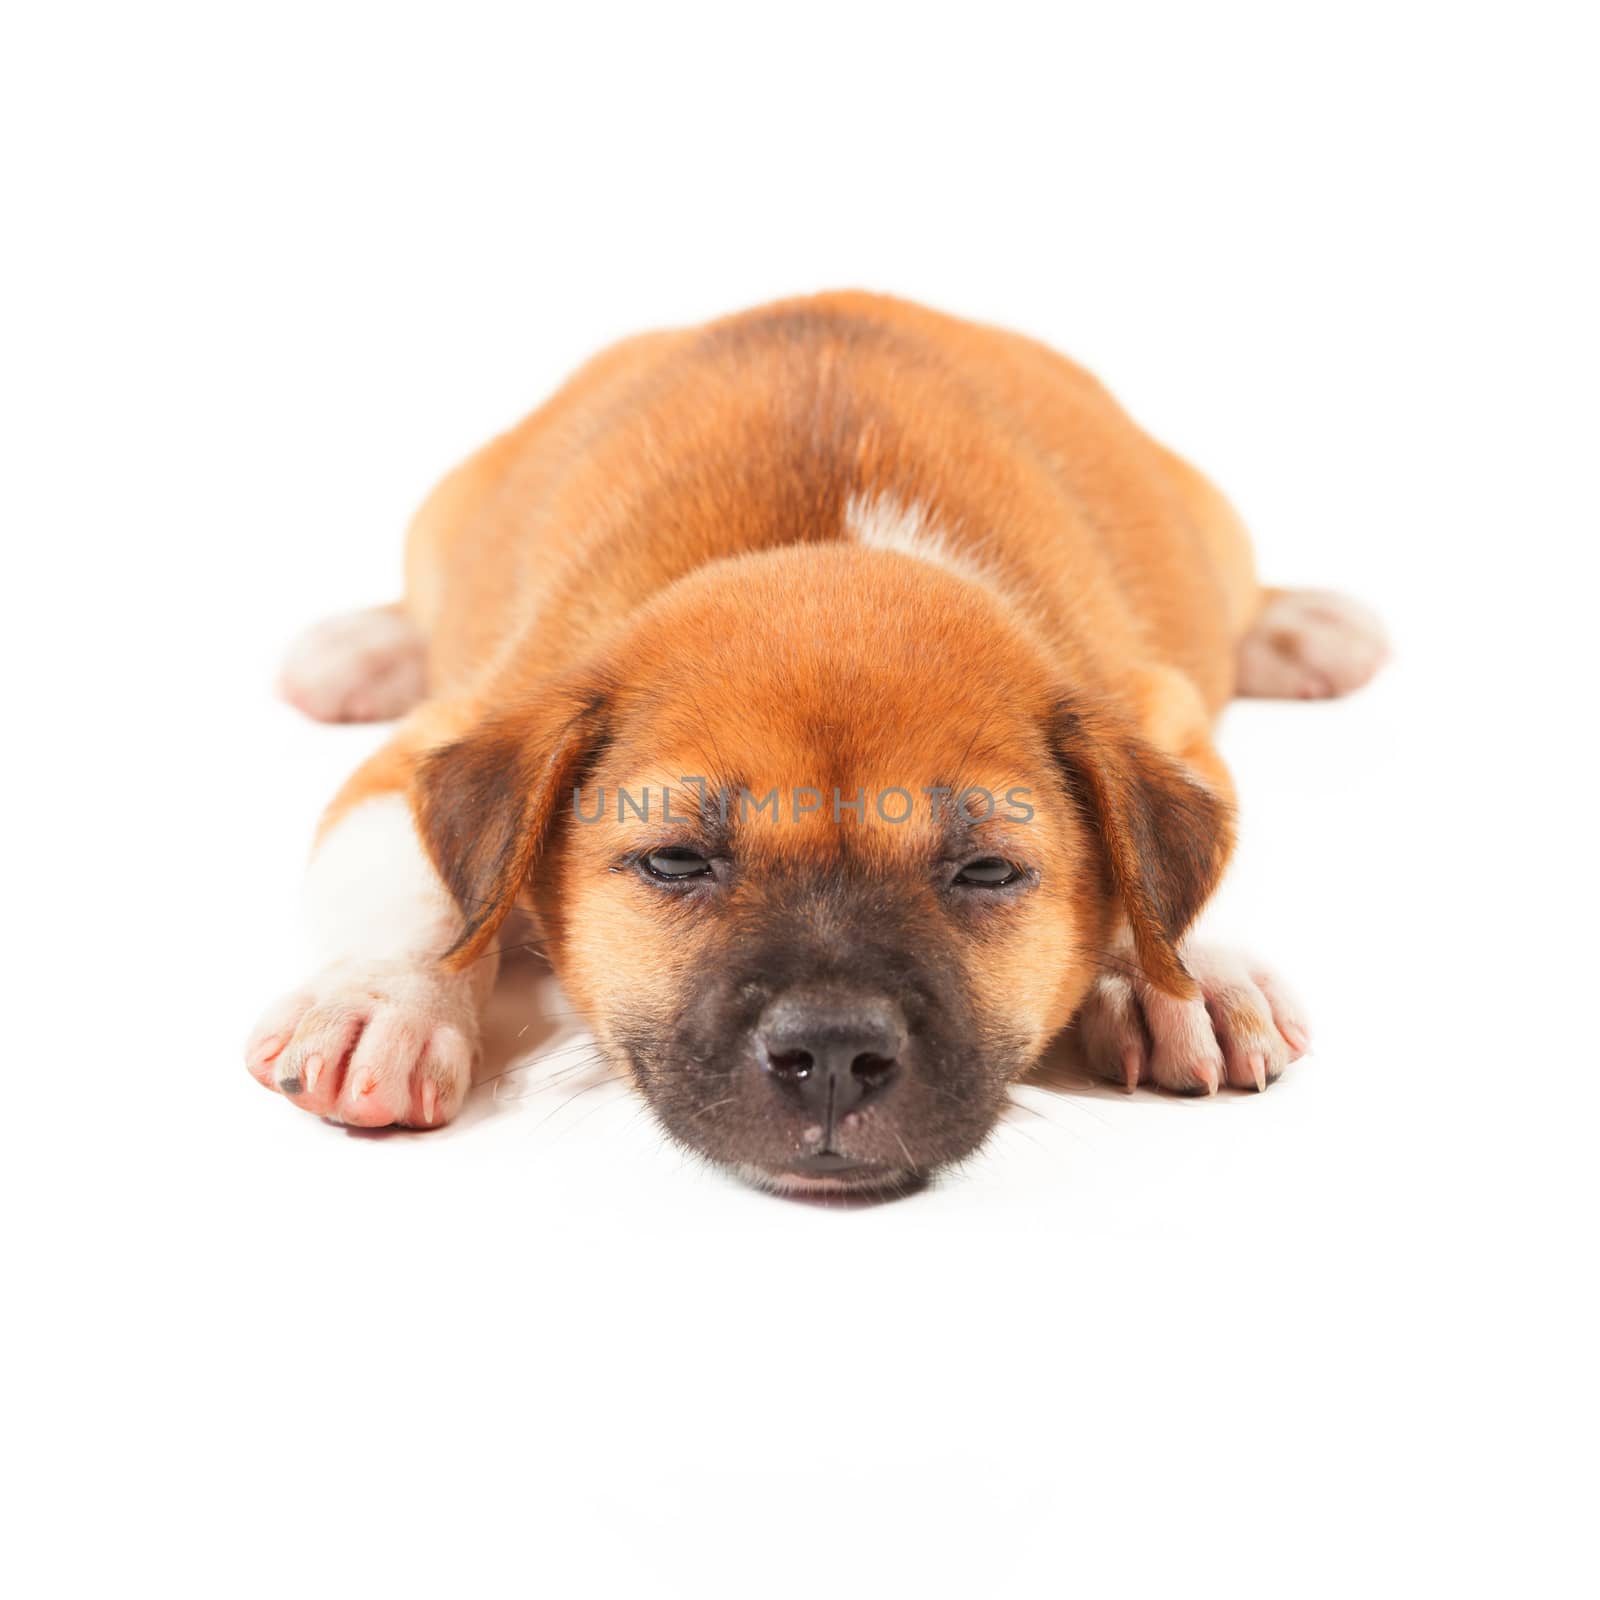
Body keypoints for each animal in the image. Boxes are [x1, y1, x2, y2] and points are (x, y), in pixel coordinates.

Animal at [252, 291, 1388, 1190]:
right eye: (675, 860)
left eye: (986, 871)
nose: (834, 1056)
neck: (827, 544)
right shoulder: (436, 742)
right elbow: (421, 892)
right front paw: (382, 1001)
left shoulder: (1154, 707)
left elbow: (1173, 876)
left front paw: (1188, 972)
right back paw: (360, 648)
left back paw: (1300, 626)